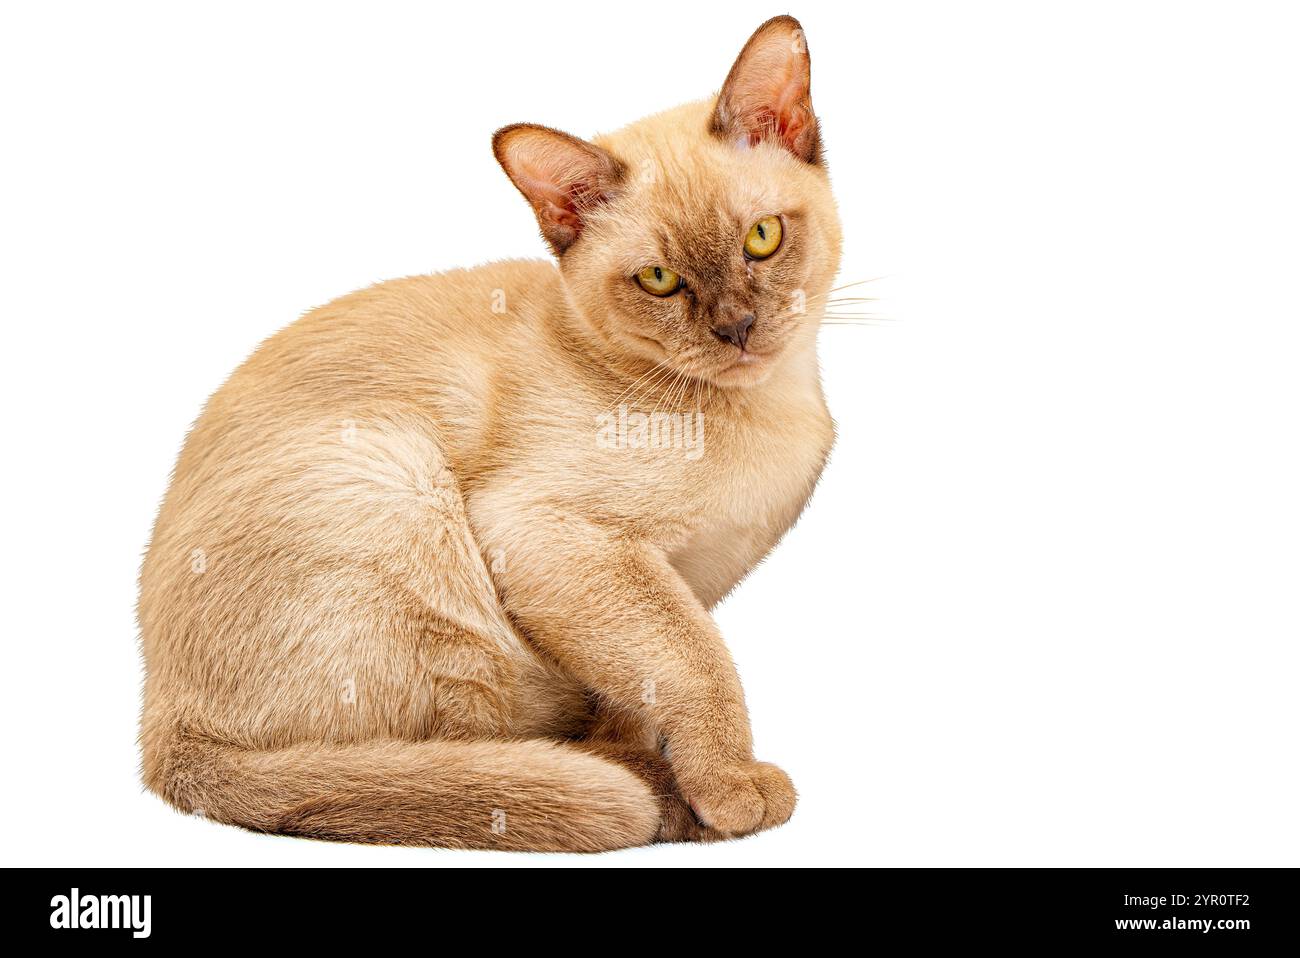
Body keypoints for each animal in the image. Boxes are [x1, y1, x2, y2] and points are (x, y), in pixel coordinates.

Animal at [139, 14, 842, 847]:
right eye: (660, 281)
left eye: (762, 238)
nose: (737, 328)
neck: (768, 408)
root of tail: (162, 729)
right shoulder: (562, 538)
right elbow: (696, 665)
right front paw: (728, 792)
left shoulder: (682, 580)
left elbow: (639, 691)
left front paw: (687, 784)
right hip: (404, 499)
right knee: (427, 765)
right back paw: (641, 795)